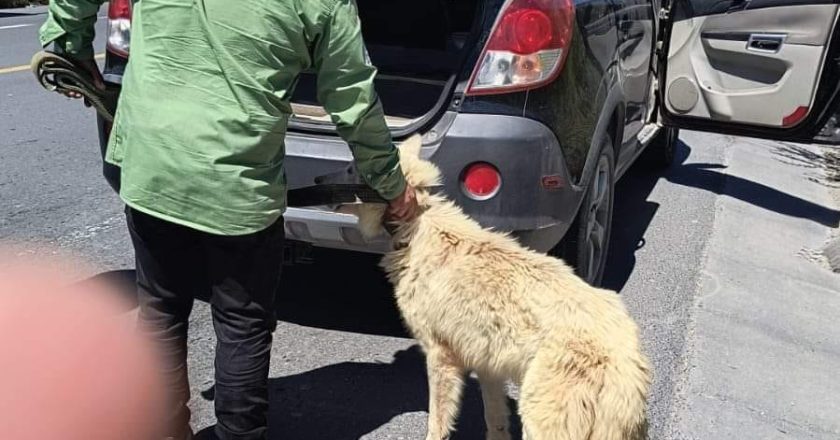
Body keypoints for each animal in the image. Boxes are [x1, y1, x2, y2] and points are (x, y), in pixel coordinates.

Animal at [344, 136, 652, 438]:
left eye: (353, 170)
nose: (332, 173)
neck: (417, 225)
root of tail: (628, 361)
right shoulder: (487, 367)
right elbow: (495, 420)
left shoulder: (440, 356)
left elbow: (436, 425)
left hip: (540, 421)